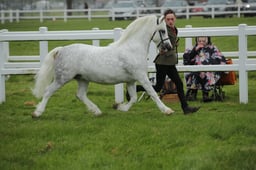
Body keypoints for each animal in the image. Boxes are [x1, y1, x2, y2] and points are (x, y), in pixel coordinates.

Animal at [32, 14, 175, 118]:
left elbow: (134, 98)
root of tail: (61, 50)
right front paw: (167, 110)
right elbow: (152, 92)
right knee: (48, 91)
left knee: (80, 95)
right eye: (163, 31)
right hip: (62, 78)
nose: (169, 47)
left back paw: (97, 111)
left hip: (82, 79)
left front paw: (121, 108)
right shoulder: (141, 76)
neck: (132, 49)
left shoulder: (131, 80)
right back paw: (37, 113)